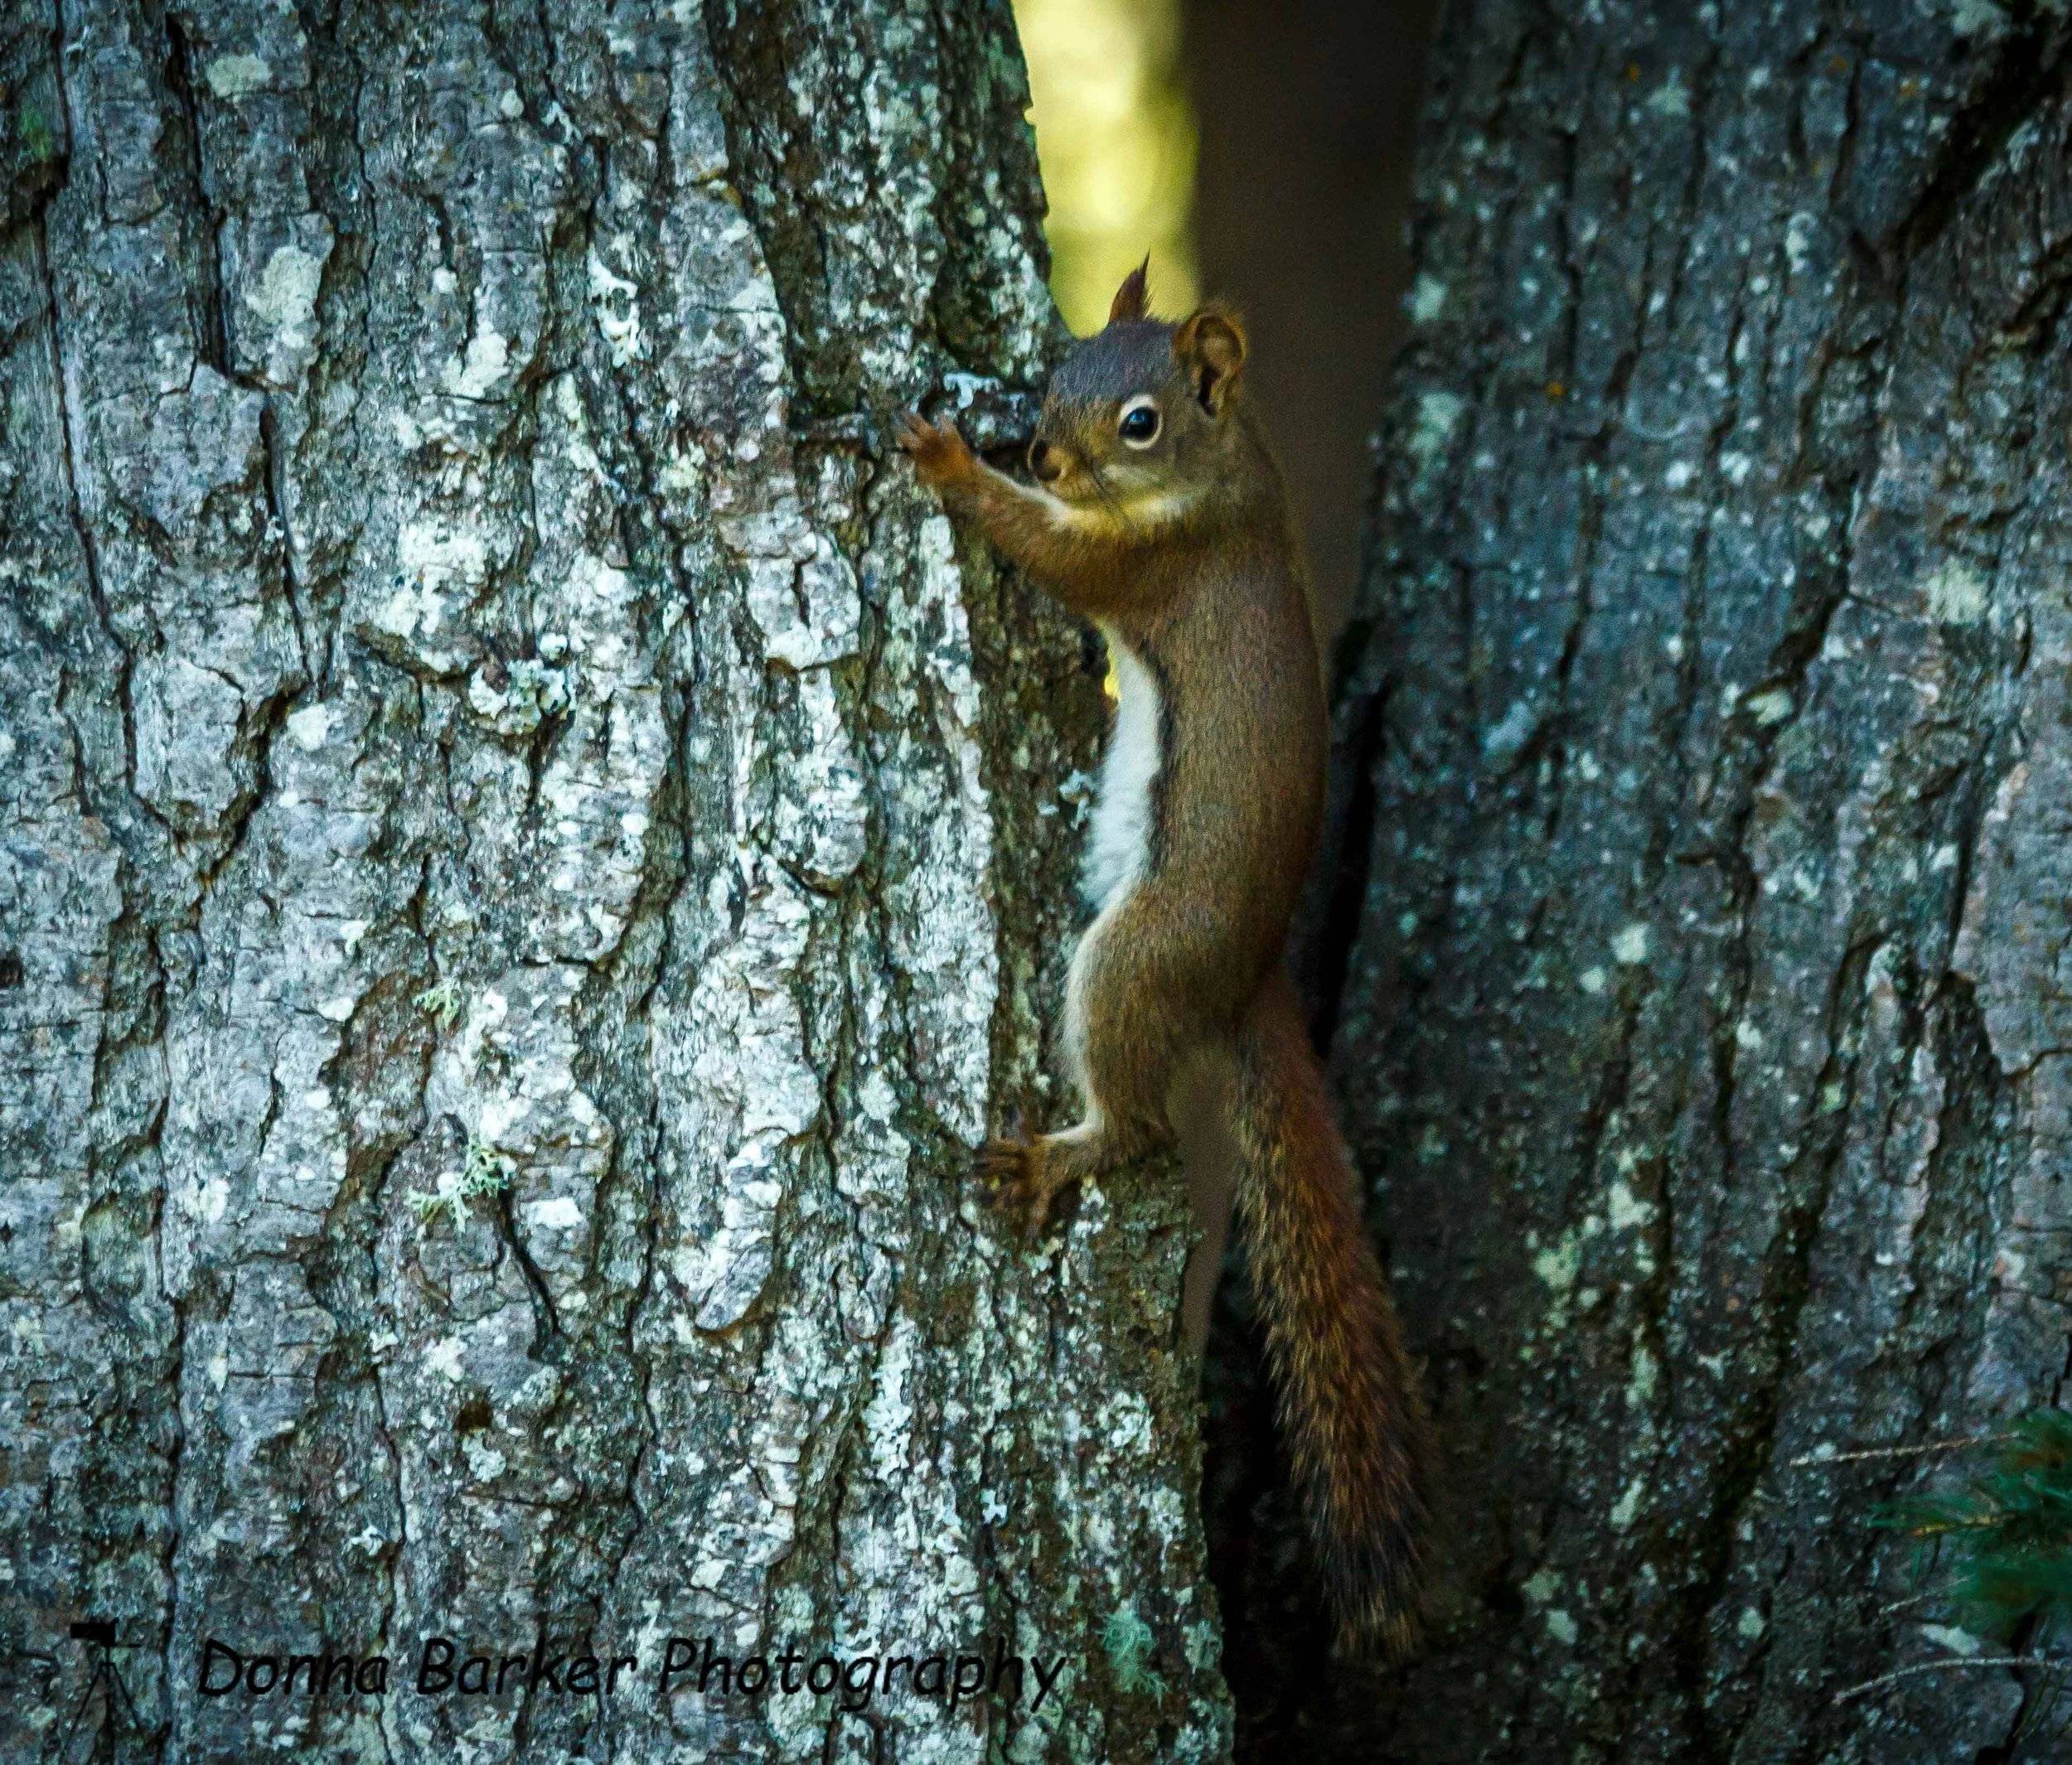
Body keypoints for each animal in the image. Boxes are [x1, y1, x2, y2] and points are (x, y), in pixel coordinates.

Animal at [895, 264, 1434, 1653]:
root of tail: (1246, 977)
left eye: (1139, 422)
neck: (1226, 469)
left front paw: (951, 462)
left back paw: (1055, 1154)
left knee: (1137, 1125)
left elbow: (1045, 549)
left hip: (1136, 958)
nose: (1044, 453)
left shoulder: (1146, 561)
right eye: (1054, 370)